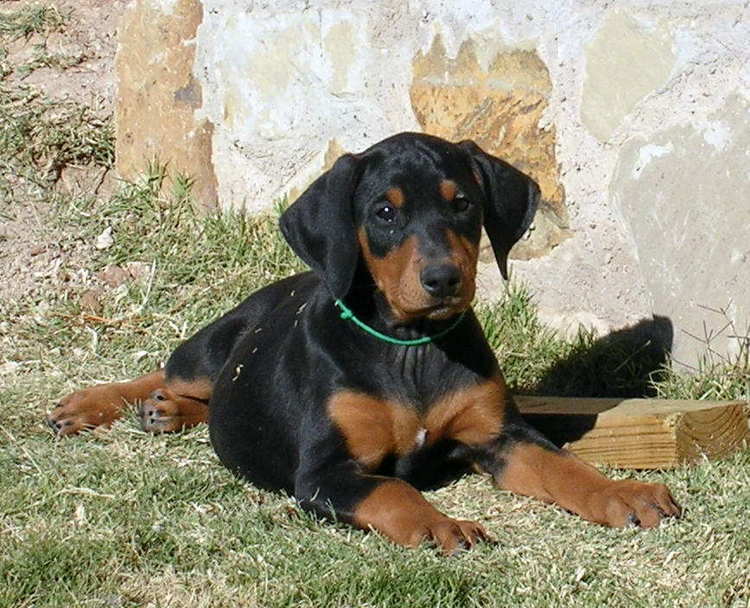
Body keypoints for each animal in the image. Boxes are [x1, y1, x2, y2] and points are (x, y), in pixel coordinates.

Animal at [45, 135, 680, 552]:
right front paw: (440, 525)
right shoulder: (325, 473)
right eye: (384, 213)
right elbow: (393, 492)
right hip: (210, 347)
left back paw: (170, 412)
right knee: (169, 370)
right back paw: (91, 405)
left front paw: (624, 493)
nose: (444, 279)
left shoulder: (501, 437)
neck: (411, 346)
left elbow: (564, 466)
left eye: (463, 204)